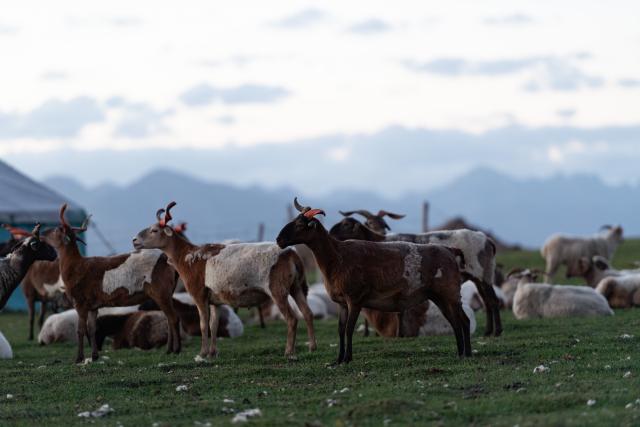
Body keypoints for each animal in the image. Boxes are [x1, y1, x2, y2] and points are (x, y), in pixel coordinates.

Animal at [43, 205, 181, 363]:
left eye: (56, 230)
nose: (42, 232)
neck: (74, 267)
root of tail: (169, 262)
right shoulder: (93, 306)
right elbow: (92, 329)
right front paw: (94, 356)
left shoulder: (80, 302)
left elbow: (81, 330)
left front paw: (79, 358)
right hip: (167, 293)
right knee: (169, 318)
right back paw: (168, 350)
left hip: (161, 292)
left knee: (173, 318)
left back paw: (177, 349)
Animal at [132, 201, 317, 359]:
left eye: (154, 230)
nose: (134, 241)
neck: (187, 257)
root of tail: (291, 254)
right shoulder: (215, 300)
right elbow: (213, 325)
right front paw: (212, 353)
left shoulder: (198, 294)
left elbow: (203, 324)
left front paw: (202, 354)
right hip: (296, 287)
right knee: (307, 313)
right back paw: (312, 347)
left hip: (278, 290)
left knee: (292, 319)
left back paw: (289, 352)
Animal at [276, 198, 471, 364]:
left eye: (300, 224)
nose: (279, 240)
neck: (336, 257)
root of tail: (450, 250)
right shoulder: (342, 303)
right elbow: (340, 330)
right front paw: (338, 360)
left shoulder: (355, 299)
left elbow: (349, 329)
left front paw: (347, 359)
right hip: (440, 297)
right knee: (456, 322)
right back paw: (462, 353)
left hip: (451, 293)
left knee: (463, 321)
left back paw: (465, 354)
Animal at [329, 215, 502, 336]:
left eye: (346, 224)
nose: (330, 232)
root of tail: (487, 240)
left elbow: (399, 312)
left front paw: (399, 333)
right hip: (478, 278)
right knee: (487, 302)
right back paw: (488, 331)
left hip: (484, 274)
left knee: (493, 301)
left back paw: (497, 332)